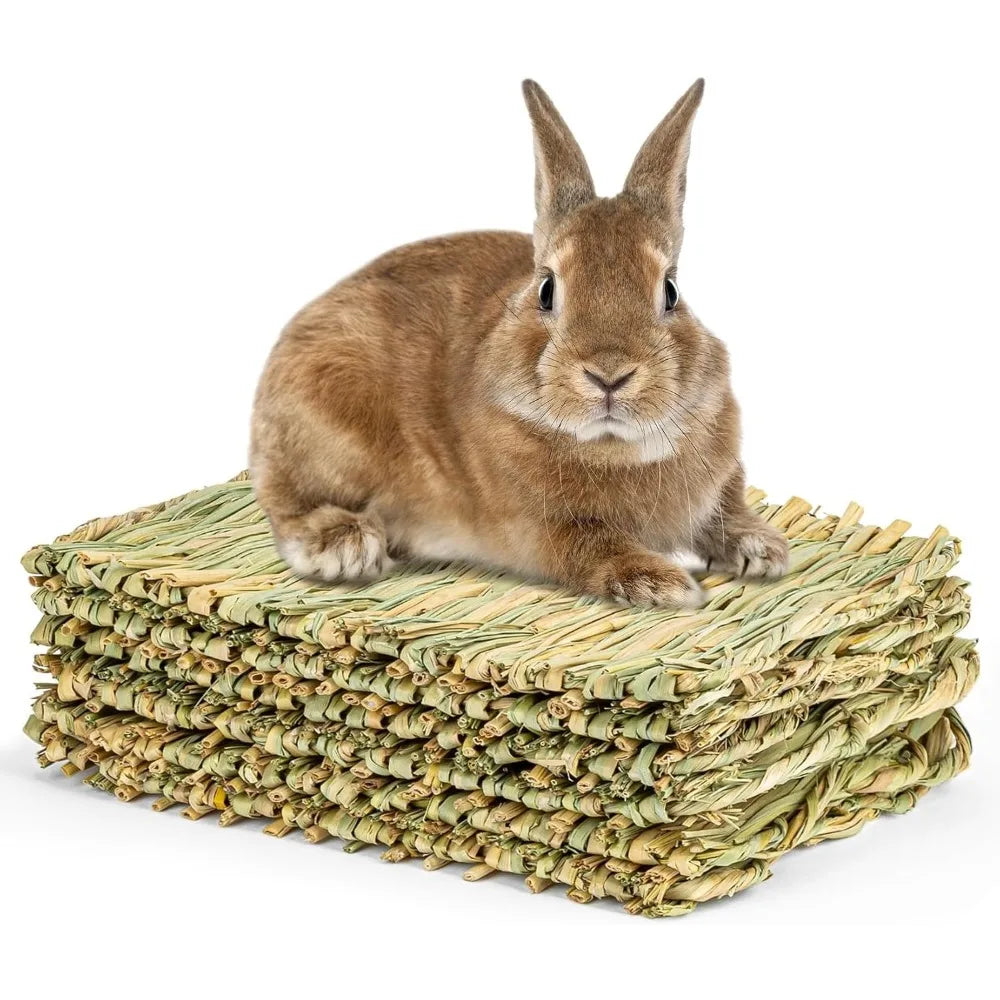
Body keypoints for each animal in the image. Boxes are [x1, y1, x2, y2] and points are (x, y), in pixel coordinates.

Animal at [250, 79, 788, 608]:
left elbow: (726, 510)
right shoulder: (541, 528)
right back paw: (343, 545)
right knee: (284, 501)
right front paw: (664, 584)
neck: (613, 447)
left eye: (671, 291)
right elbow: (592, 547)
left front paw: (763, 549)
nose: (609, 374)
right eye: (547, 289)